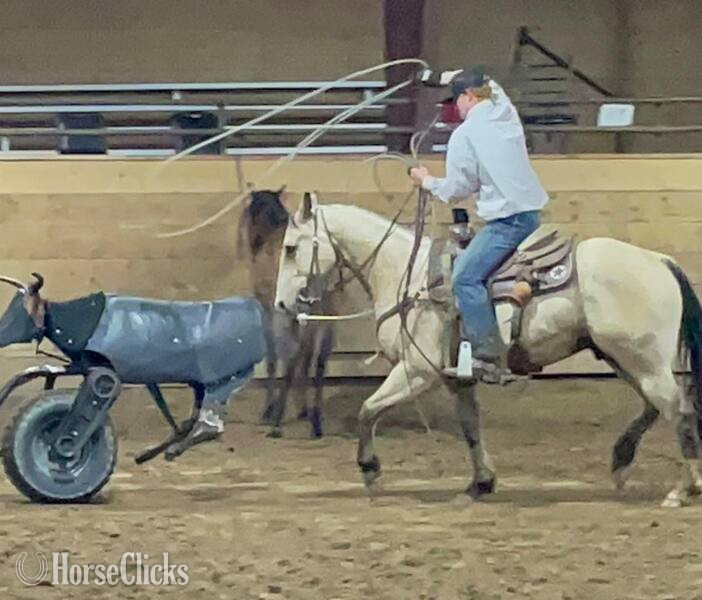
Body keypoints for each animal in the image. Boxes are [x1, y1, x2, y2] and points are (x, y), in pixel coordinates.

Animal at [239, 189, 335, 438]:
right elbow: (307, 358)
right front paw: (302, 409)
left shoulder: (268, 310)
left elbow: (274, 357)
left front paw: (269, 409)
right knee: (319, 360)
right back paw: (315, 418)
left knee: (294, 357)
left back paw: (278, 419)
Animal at [274, 193, 702, 508]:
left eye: (291, 248)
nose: (280, 304)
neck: (406, 275)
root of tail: (659, 260)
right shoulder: (456, 380)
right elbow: (470, 427)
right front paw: (480, 483)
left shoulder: (417, 371)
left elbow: (368, 411)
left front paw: (371, 470)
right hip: (625, 357)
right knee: (654, 407)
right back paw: (621, 462)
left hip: (642, 359)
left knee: (677, 410)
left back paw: (682, 489)